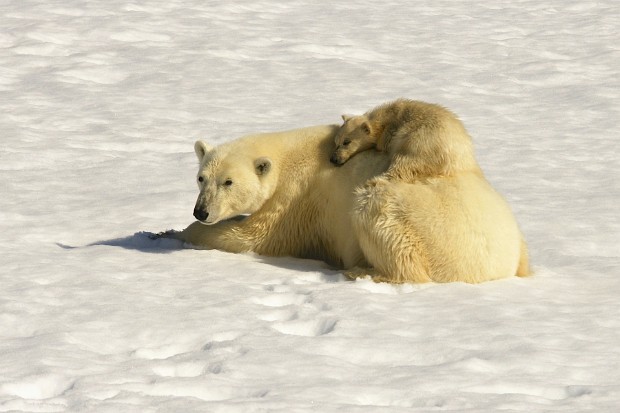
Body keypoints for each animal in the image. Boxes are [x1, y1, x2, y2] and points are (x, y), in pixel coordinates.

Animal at [160, 122, 528, 284]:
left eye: (229, 182)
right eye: (201, 178)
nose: (201, 210)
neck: (289, 154)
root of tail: (500, 265)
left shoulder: (298, 199)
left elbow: (254, 237)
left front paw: (169, 233)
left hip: (424, 226)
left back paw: (360, 271)